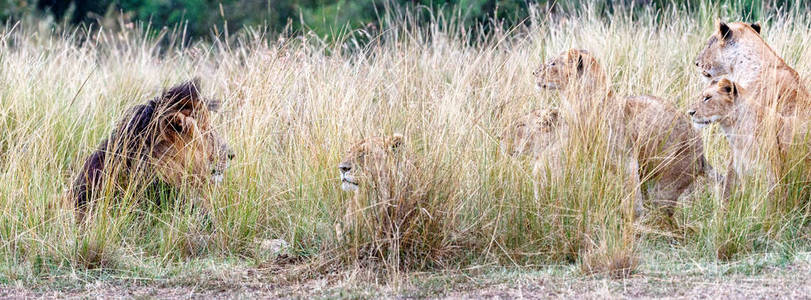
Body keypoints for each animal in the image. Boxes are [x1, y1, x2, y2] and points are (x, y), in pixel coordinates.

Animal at [536, 48, 712, 216]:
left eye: (553, 63)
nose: (534, 72)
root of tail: (702, 154)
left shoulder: (627, 161)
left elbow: (633, 200)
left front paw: (633, 218)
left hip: (666, 185)